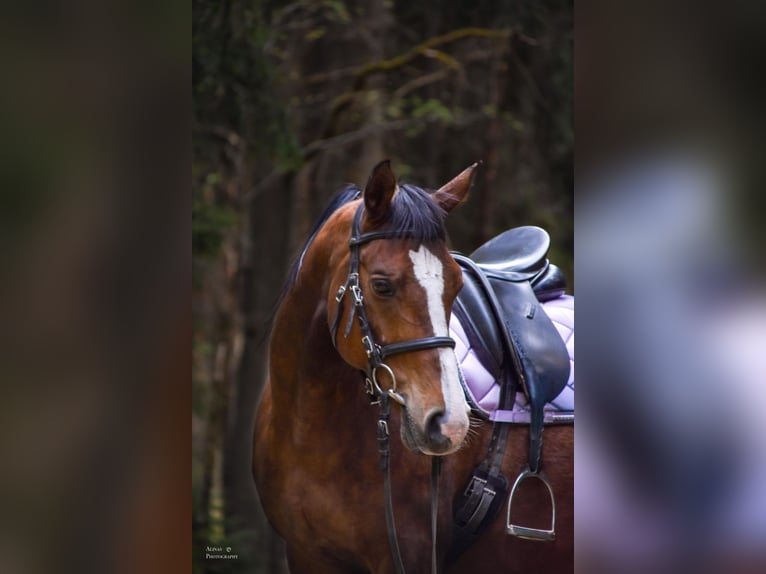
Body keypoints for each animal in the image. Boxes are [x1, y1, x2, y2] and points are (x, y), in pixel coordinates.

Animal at [253, 160, 573, 573]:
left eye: (456, 285)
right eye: (381, 285)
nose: (449, 423)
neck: (307, 429)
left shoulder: (406, 555)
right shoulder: (305, 554)